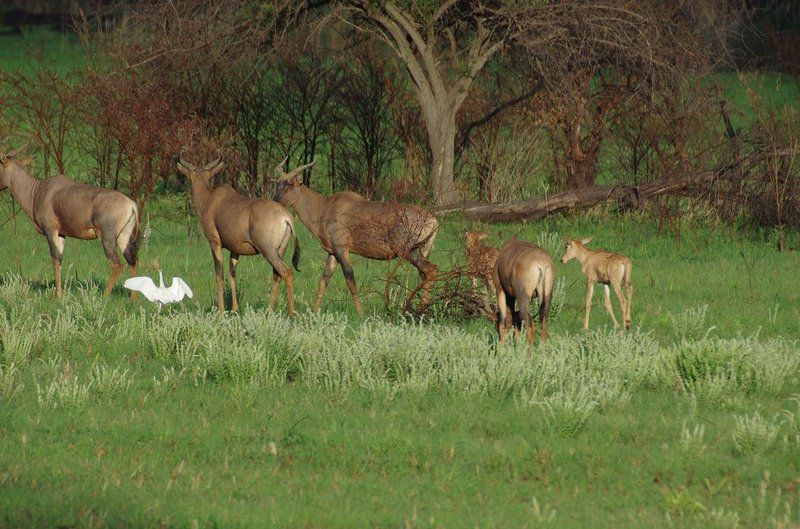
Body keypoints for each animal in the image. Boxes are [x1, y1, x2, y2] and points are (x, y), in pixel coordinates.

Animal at [0, 140, 139, 296]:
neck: (38, 190)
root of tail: (131, 205)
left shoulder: (51, 230)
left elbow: (54, 259)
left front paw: (57, 296)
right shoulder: (61, 234)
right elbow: (60, 260)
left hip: (107, 238)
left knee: (117, 265)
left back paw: (104, 297)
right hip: (124, 237)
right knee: (133, 262)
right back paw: (133, 299)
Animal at [176, 157, 300, 314]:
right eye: (192, 177)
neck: (211, 199)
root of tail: (285, 216)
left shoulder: (214, 243)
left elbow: (219, 274)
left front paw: (221, 311)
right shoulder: (235, 249)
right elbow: (232, 273)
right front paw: (235, 309)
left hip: (268, 250)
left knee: (286, 272)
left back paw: (291, 314)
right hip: (280, 250)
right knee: (277, 275)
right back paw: (269, 311)